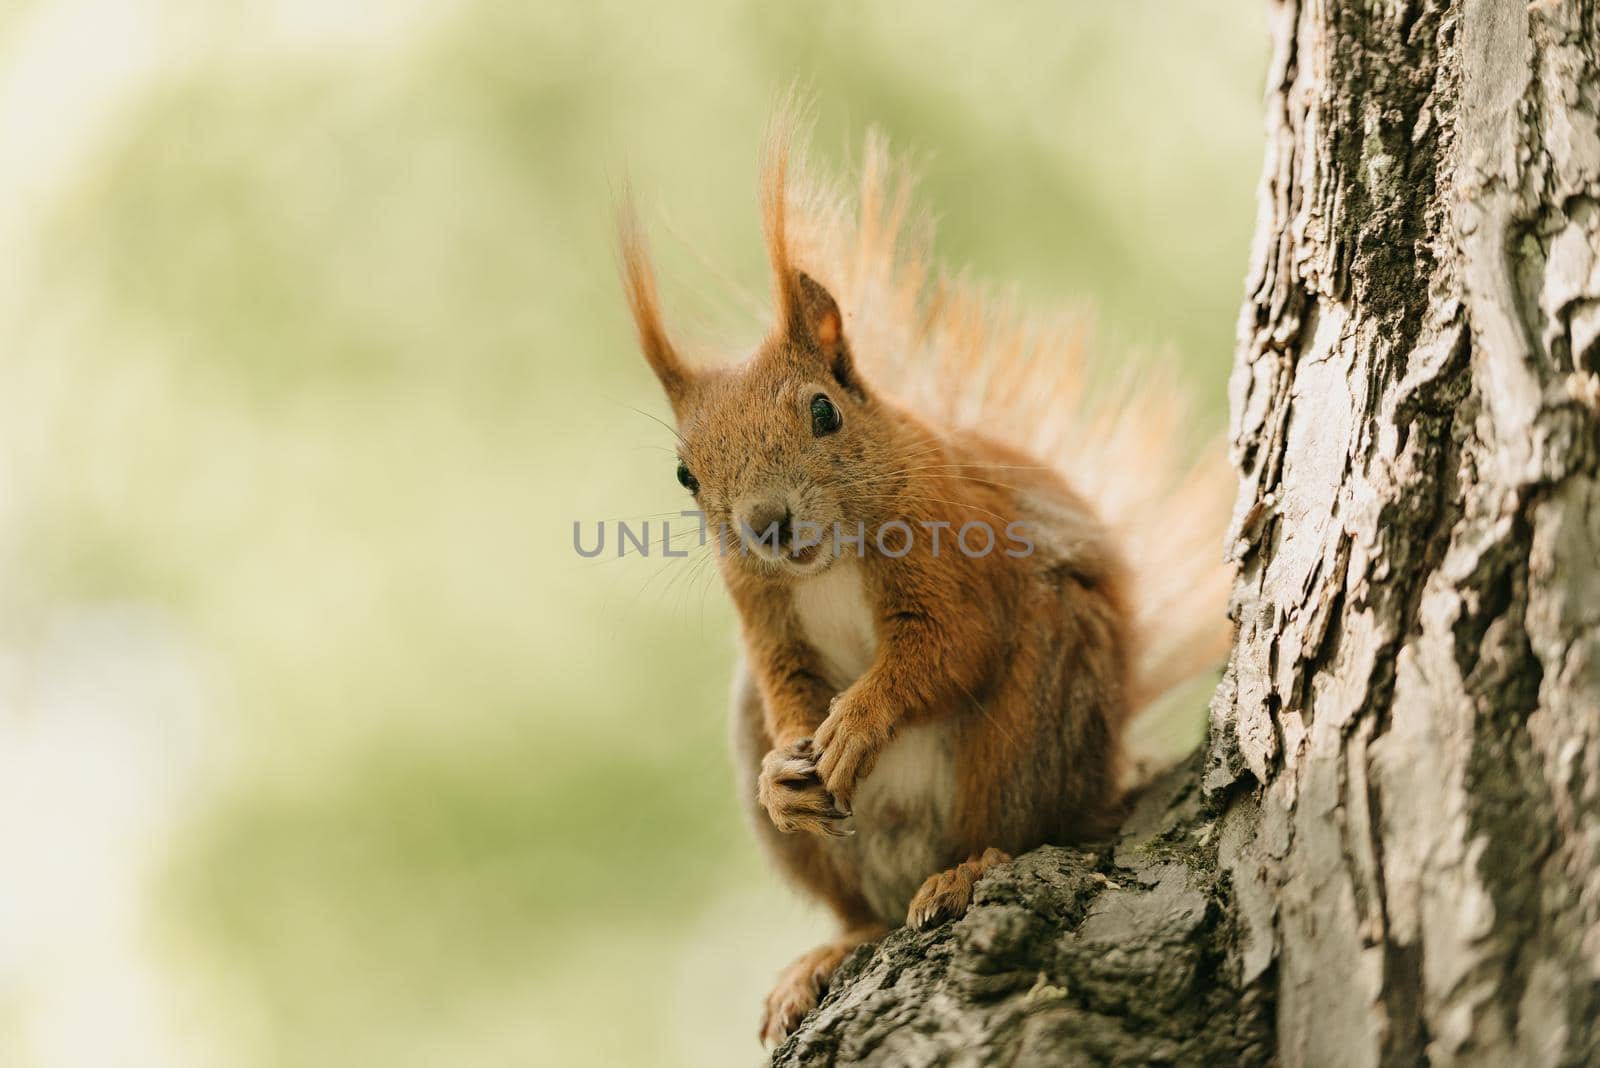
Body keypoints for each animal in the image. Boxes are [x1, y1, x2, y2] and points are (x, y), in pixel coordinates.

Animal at [617, 115, 1228, 1042]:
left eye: (823, 411)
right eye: (686, 475)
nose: (766, 522)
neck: (831, 561)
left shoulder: (949, 548)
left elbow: (951, 644)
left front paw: (860, 722)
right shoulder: (759, 604)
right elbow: (785, 680)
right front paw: (786, 769)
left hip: (1042, 705)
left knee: (1020, 825)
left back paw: (968, 870)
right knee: (860, 908)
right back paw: (832, 945)